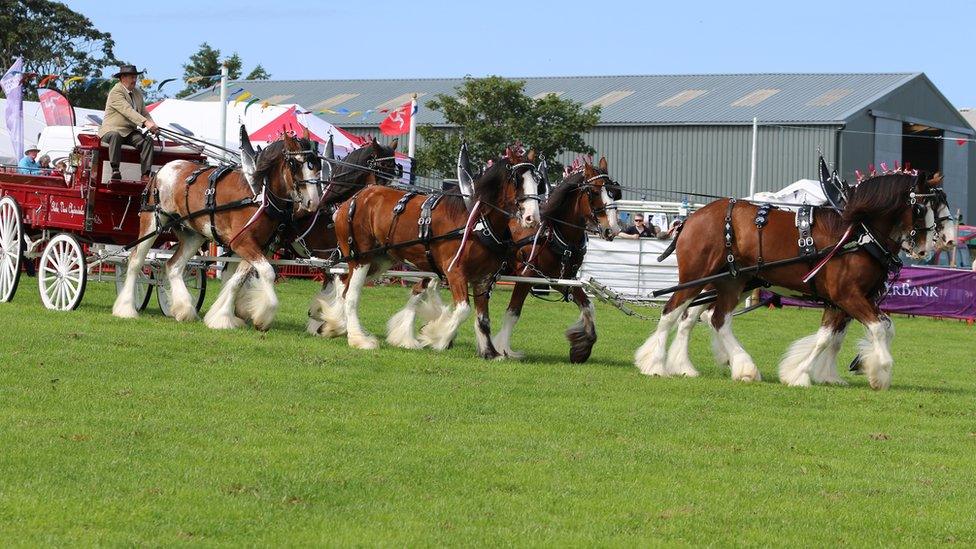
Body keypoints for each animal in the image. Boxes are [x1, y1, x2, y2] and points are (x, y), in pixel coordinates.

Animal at [114, 133, 320, 330]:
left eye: (317, 165)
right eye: (295, 164)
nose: (313, 202)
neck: (259, 194)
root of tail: (163, 169)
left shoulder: (256, 246)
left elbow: (236, 280)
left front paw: (222, 317)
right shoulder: (242, 243)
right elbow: (267, 272)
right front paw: (264, 316)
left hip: (193, 235)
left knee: (173, 266)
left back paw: (184, 309)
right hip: (152, 222)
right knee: (135, 260)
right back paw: (126, 308)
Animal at [326, 148, 540, 356]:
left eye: (537, 180)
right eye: (517, 179)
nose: (532, 218)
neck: (476, 221)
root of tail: (352, 200)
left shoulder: (484, 279)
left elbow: (483, 319)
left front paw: (490, 352)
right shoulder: (455, 272)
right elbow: (463, 310)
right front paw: (436, 336)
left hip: (378, 261)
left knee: (344, 286)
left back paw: (335, 326)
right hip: (360, 258)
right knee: (351, 295)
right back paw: (358, 339)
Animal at [492, 158, 620, 362]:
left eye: (613, 192)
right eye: (593, 192)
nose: (613, 229)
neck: (554, 235)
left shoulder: (561, 279)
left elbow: (588, 306)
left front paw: (581, 347)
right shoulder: (526, 275)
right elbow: (513, 312)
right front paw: (503, 349)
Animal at [640, 171, 952, 390]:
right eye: (923, 207)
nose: (932, 246)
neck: (858, 234)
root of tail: (692, 218)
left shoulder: (844, 301)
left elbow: (836, 337)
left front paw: (821, 372)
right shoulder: (847, 296)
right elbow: (873, 330)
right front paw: (881, 370)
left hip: (731, 282)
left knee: (711, 318)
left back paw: (718, 366)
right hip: (697, 277)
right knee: (673, 313)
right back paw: (656, 364)